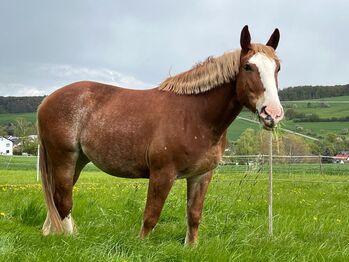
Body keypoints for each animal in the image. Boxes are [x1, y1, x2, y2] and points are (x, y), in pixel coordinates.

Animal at [37, 25, 282, 245]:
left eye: (277, 67)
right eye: (248, 66)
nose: (272, 113)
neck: (195, 116)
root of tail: (46, 101)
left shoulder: (201, 175)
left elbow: (194, 216)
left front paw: (190, 247)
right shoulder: (162, 174)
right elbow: (151, 216)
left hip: (78, 160)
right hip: (64, 158)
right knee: (63, 199)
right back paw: (69, 239)